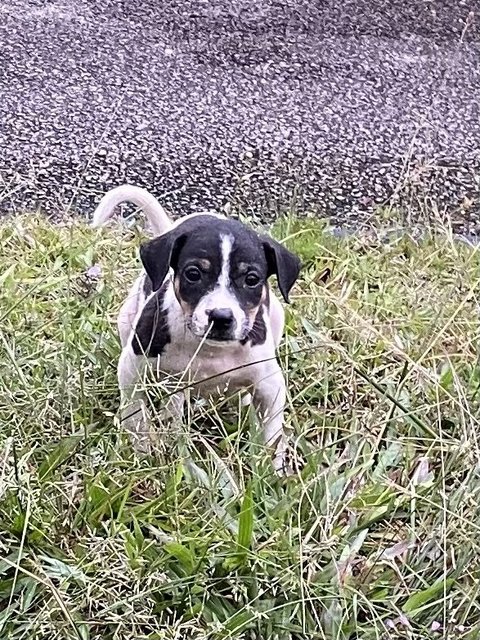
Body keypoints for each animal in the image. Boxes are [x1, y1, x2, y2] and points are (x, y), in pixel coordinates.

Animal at [91, 182, 300, 472]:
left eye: (252, 279)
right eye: (193, 274)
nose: (221, 317)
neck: (211, 350)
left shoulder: (270, 386)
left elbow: (272, 433)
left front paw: (271, 469)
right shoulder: (133, 370)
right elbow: (135, 416)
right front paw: (141, 452)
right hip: (128, 322)